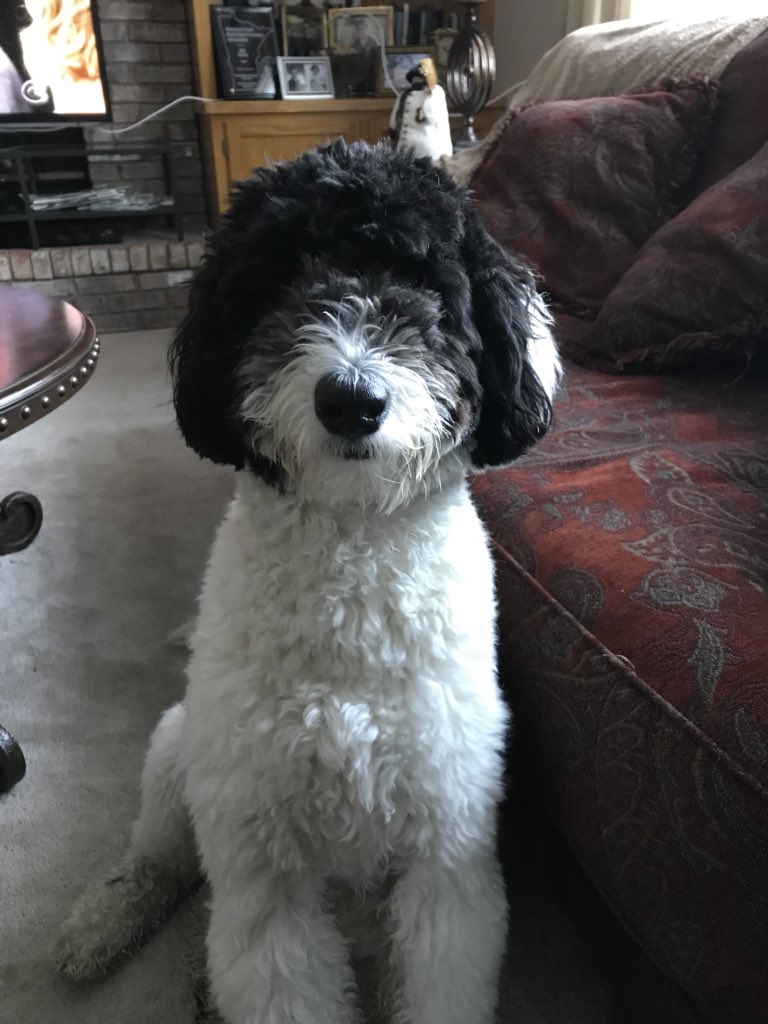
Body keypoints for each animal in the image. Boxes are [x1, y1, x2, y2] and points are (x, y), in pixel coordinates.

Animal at [54, 138, 561, 1024]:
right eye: (281, 277)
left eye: (424, 285)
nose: (351, 399)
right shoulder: (266, 881)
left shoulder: (447, 859)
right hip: (175, 753)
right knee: (155, 864)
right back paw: (101, 926)